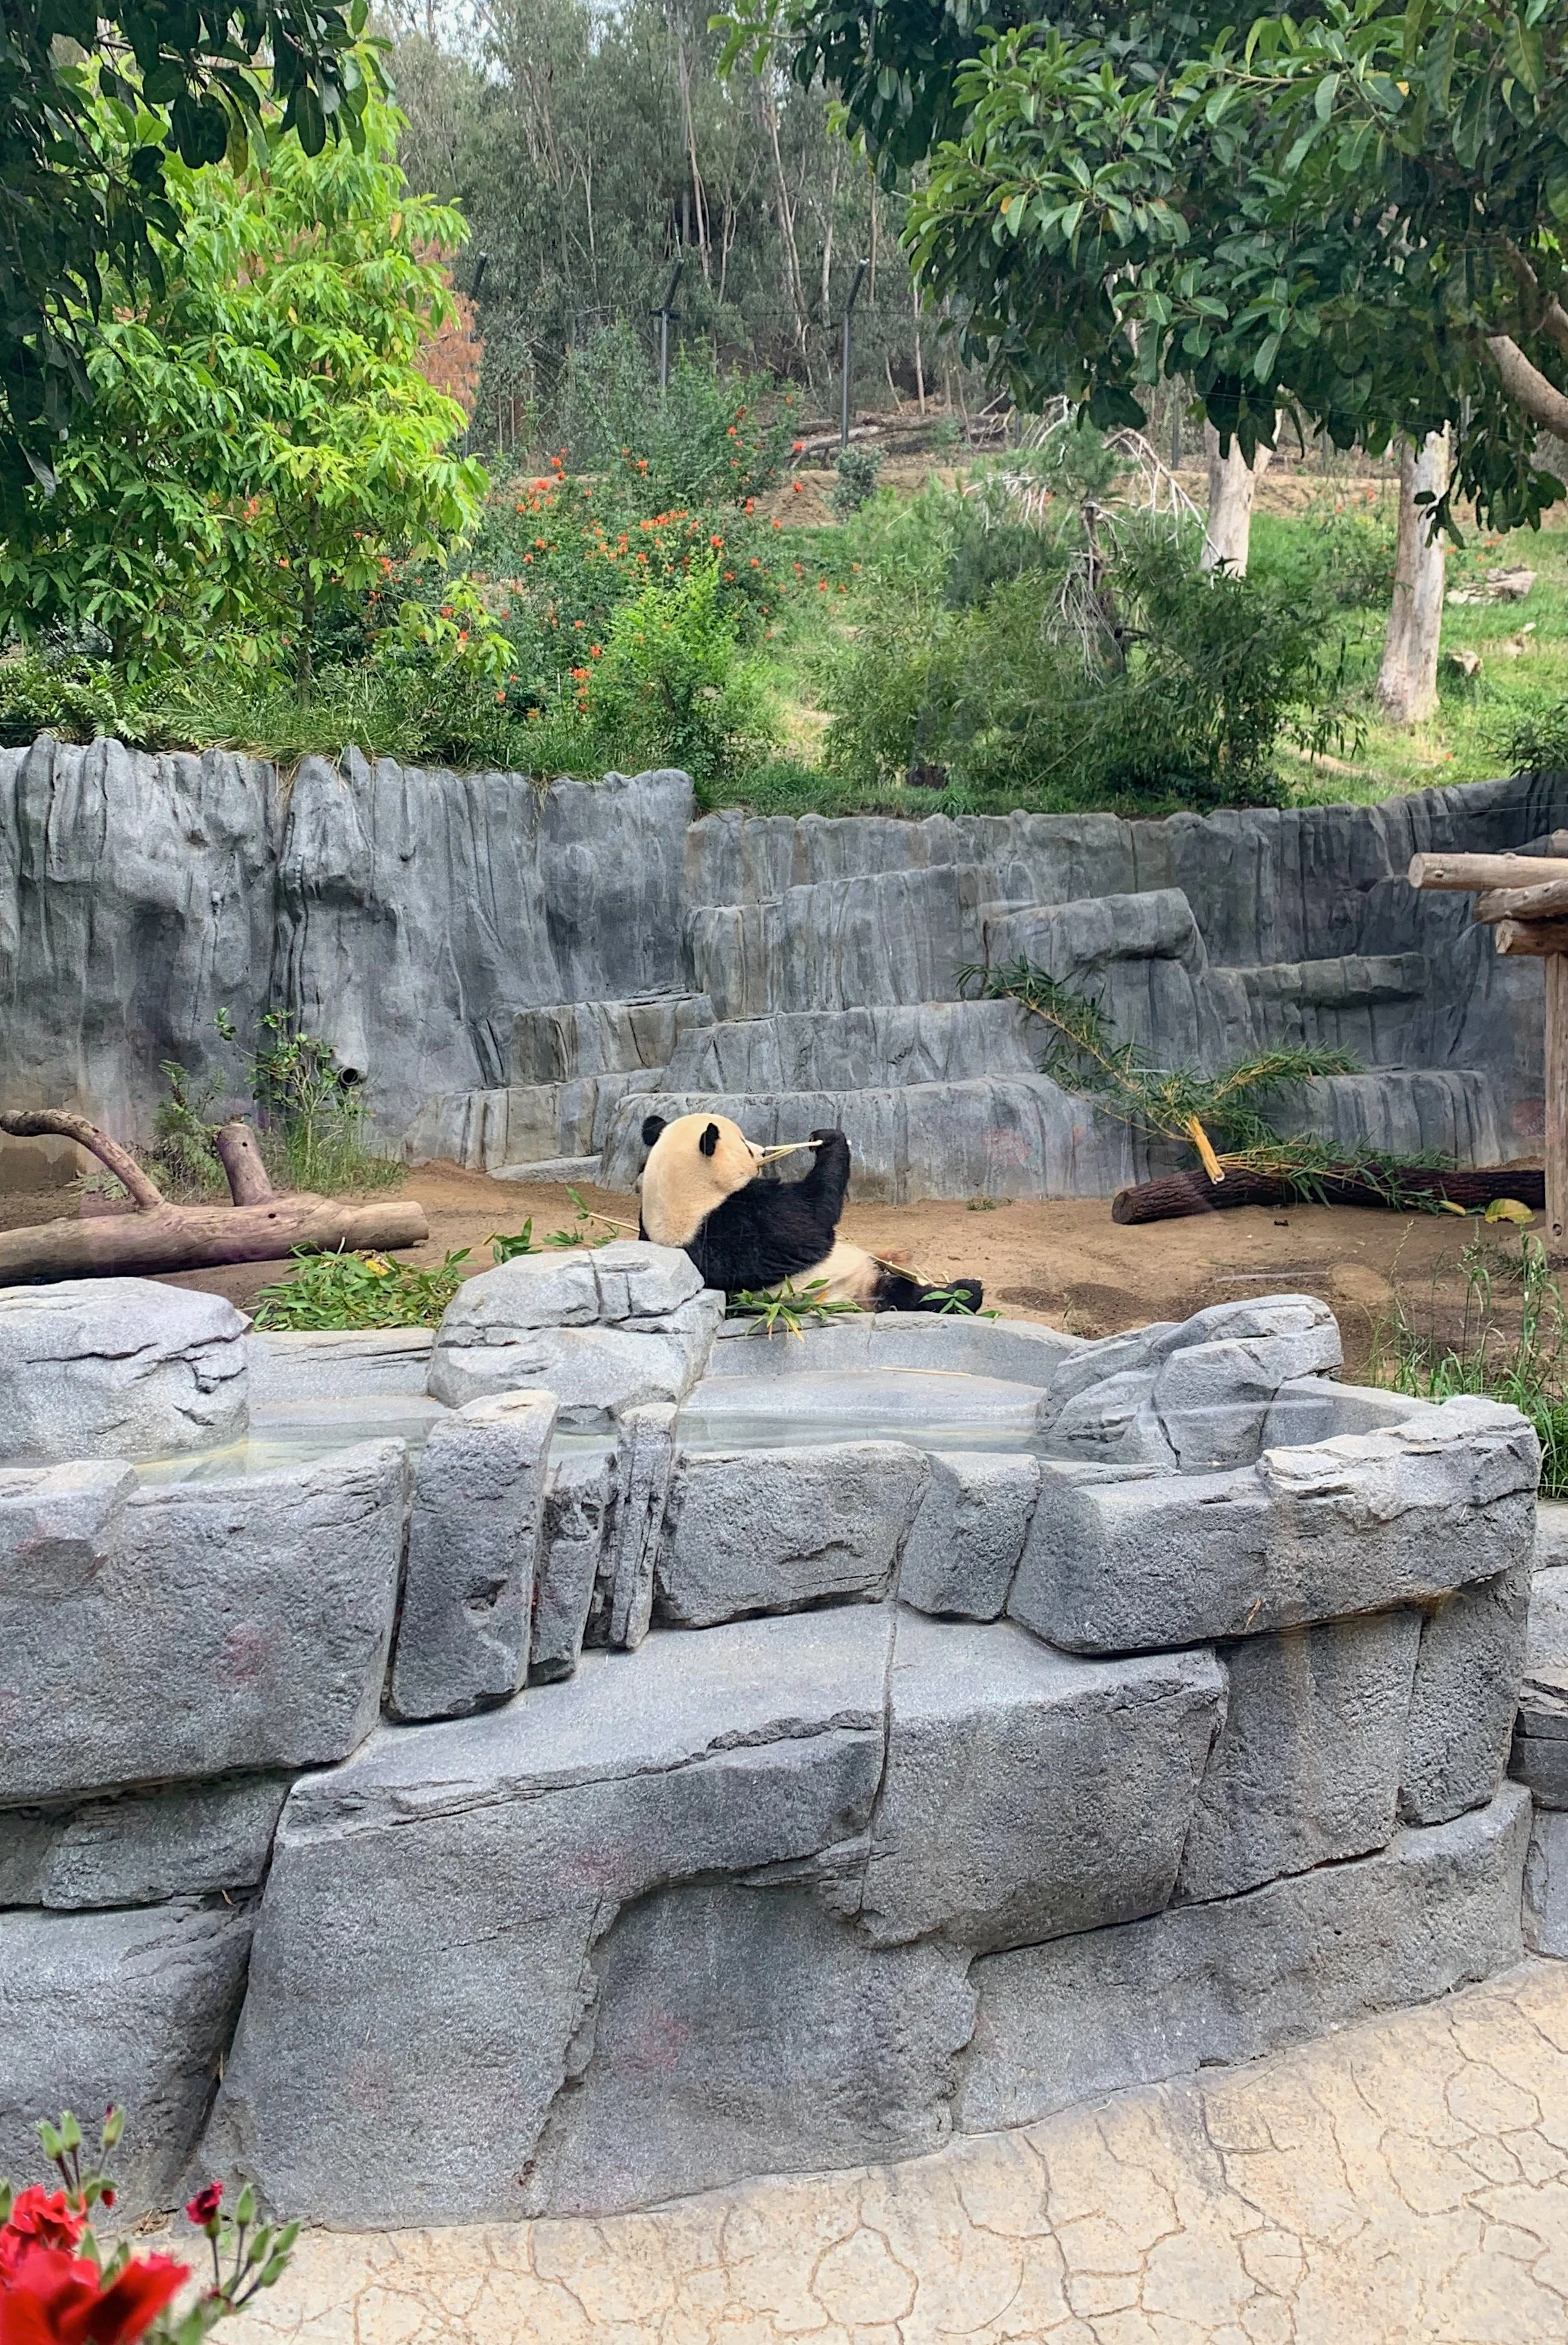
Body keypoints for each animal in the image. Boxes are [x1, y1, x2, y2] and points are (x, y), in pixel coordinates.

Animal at [636, 1110, 984, 1313]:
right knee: (908, 1296)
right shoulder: (741, 1224)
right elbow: (812, 1219)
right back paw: (965, 1292)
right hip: (852, 1291)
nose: (762, 1151)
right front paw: (829, 1140)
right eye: (745, 1147)